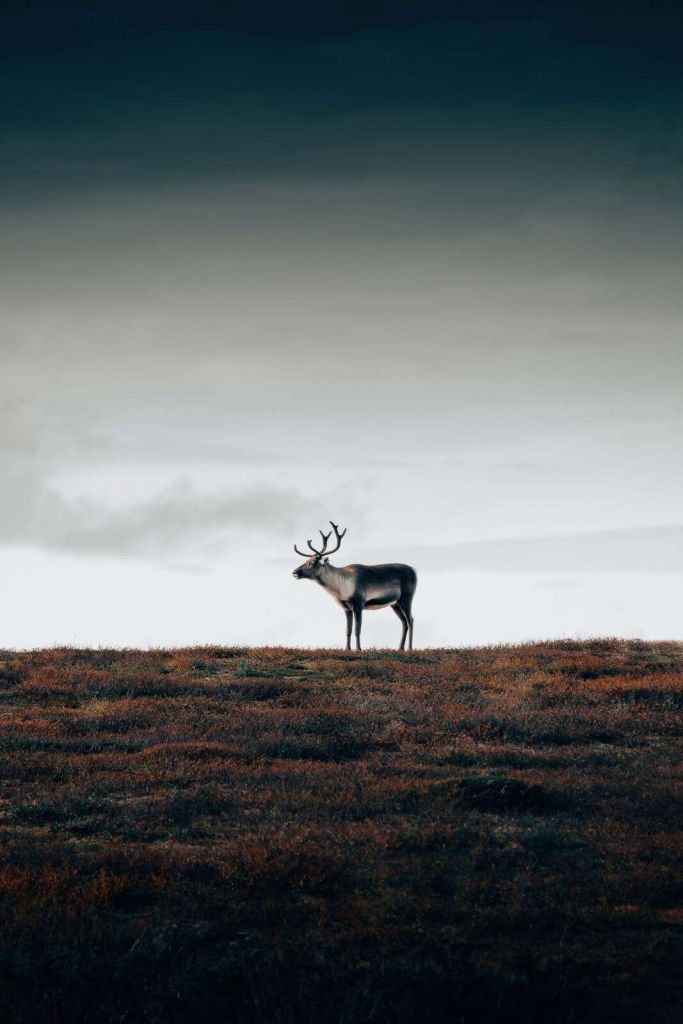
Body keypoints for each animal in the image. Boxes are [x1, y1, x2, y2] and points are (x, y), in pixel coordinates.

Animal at [292, 521, 417, 651]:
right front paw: (347, 648)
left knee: (411, 620)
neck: (340, 588)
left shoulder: (359, 603)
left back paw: (410, 648)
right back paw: (400, 648)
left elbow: (357, 629)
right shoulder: (346, 608)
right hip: (395, 604)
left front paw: (358, 649)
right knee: (404, 623)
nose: (295, 572)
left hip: (406, 598)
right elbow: (348, 630)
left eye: (312, 563)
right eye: (306, 561)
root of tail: (414, 570)